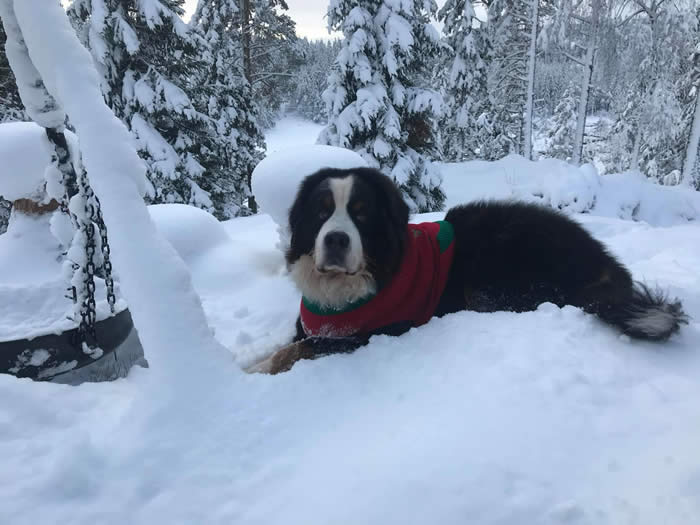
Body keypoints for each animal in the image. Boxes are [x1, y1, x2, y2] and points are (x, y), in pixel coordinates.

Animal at [249, 168, 688, 372]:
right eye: (321, 212)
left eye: (361, 214)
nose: (337, 240)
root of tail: (602, 262)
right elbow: (286, 345)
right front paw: (253, 360)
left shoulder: (371, 332)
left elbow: (298, 350)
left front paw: (257, 371)